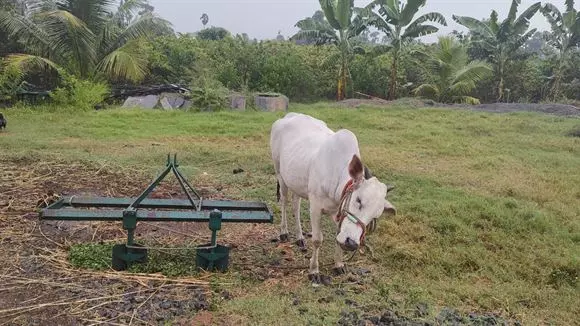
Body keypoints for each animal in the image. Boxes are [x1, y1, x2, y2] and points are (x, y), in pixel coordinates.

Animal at [270, 112, 396, 282]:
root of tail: (288, 116)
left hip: (296, 182)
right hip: (280, 174)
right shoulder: (315, 207)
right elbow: (317, 239)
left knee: (296, 205)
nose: (351, 243)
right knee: (284, 202)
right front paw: (314, 270)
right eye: (358, 200)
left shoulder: (339, 212)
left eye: (376, 216)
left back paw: (300, 237)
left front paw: (339, 264)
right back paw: (284, 232)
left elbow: (338, 236)